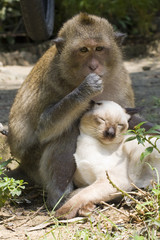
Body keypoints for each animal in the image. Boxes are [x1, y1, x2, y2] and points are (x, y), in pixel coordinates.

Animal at [6, 12, 150, 208]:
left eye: (99, 49)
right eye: (83, 50)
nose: (93, 66)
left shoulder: (121, 78)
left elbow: (131, 120)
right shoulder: (53, 80)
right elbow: (43, 128)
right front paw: (85, 89)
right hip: (32, 163)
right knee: (67, 132)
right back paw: (59, 198)